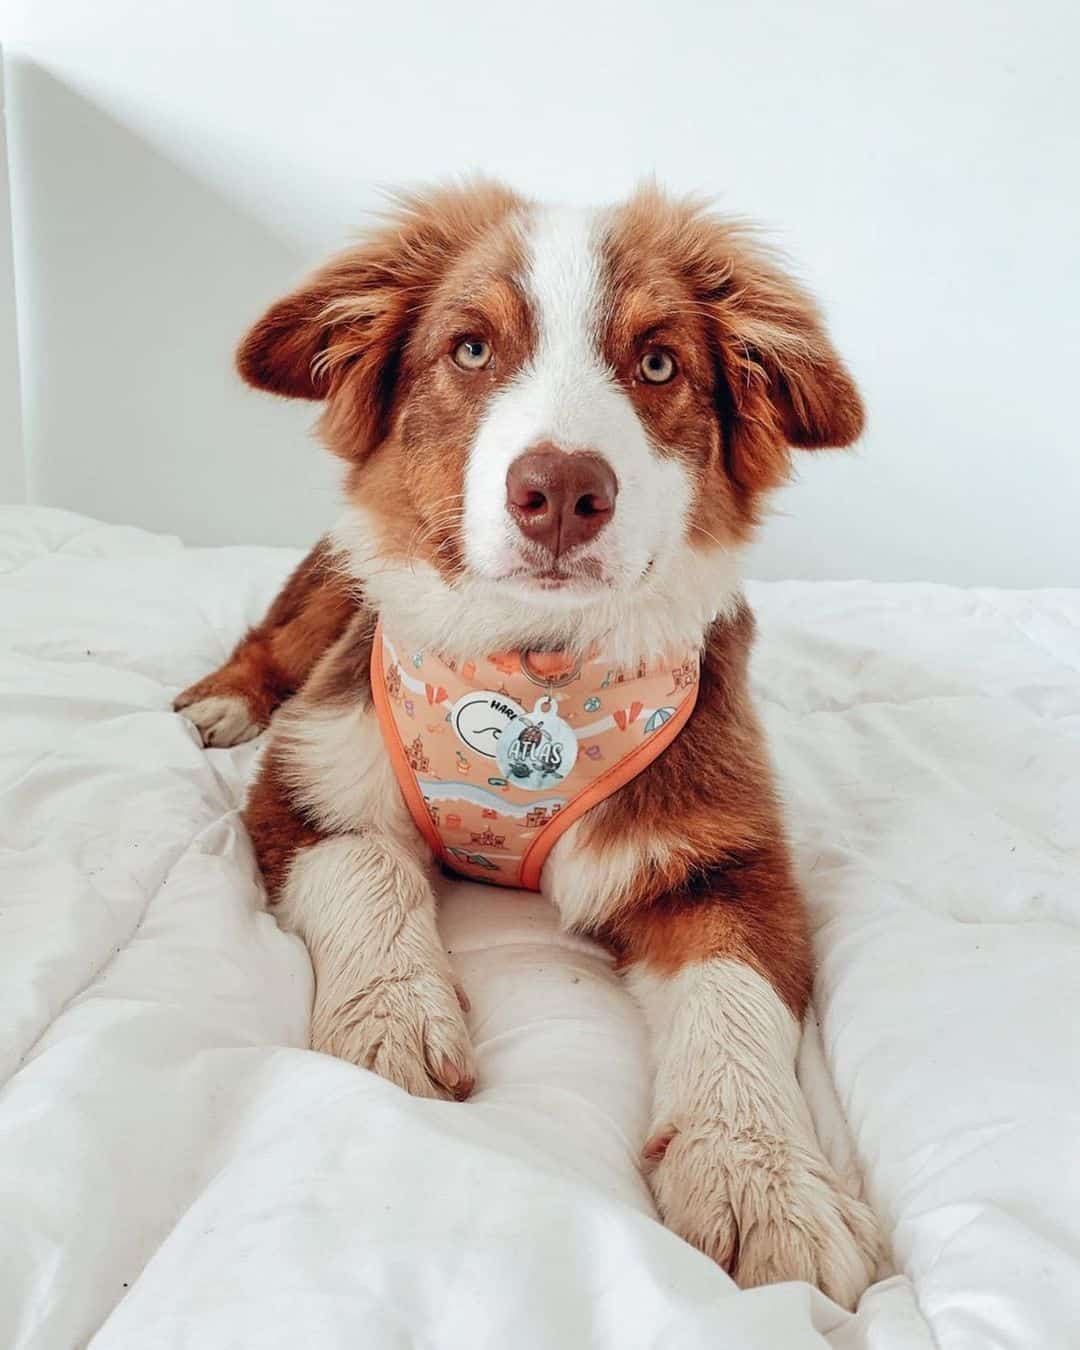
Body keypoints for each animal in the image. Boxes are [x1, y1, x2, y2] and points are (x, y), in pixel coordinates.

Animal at [176, 182, 880, 1306]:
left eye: (658, 364)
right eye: (470, 348)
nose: (559, 491)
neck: (534, 656)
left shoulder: (730, 855)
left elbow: (734, 1000)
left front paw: (763, 1181)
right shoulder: (309, 773)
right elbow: (366, 868)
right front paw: (387, 1024)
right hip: (328, 583)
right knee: (269, 637)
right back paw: (219, 703)